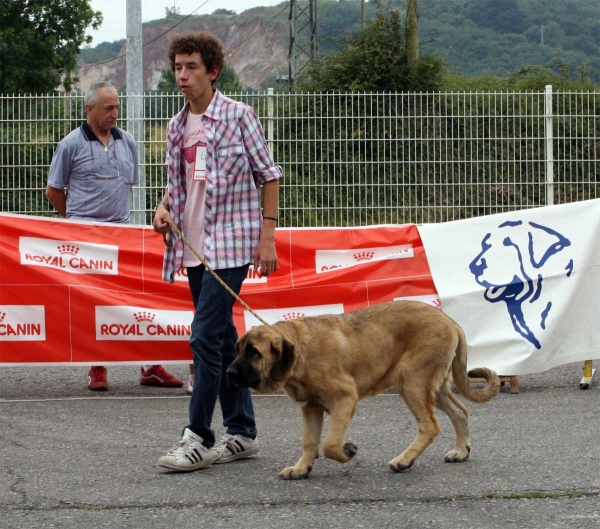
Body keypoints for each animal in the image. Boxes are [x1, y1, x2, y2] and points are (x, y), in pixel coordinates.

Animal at [227, 302, 500, 478]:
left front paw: (347, 452)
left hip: (413, 381)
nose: (229, 373)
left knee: (431, 425)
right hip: (434, 387)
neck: (302, 354)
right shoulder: (311, 408)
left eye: (253, 352)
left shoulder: (345, 399)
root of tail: (451, 321)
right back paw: (460, 451)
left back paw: (404, 461)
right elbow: (309, 441)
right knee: (460, 412)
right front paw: (301, 468)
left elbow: (330, 444)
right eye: (237, 349)